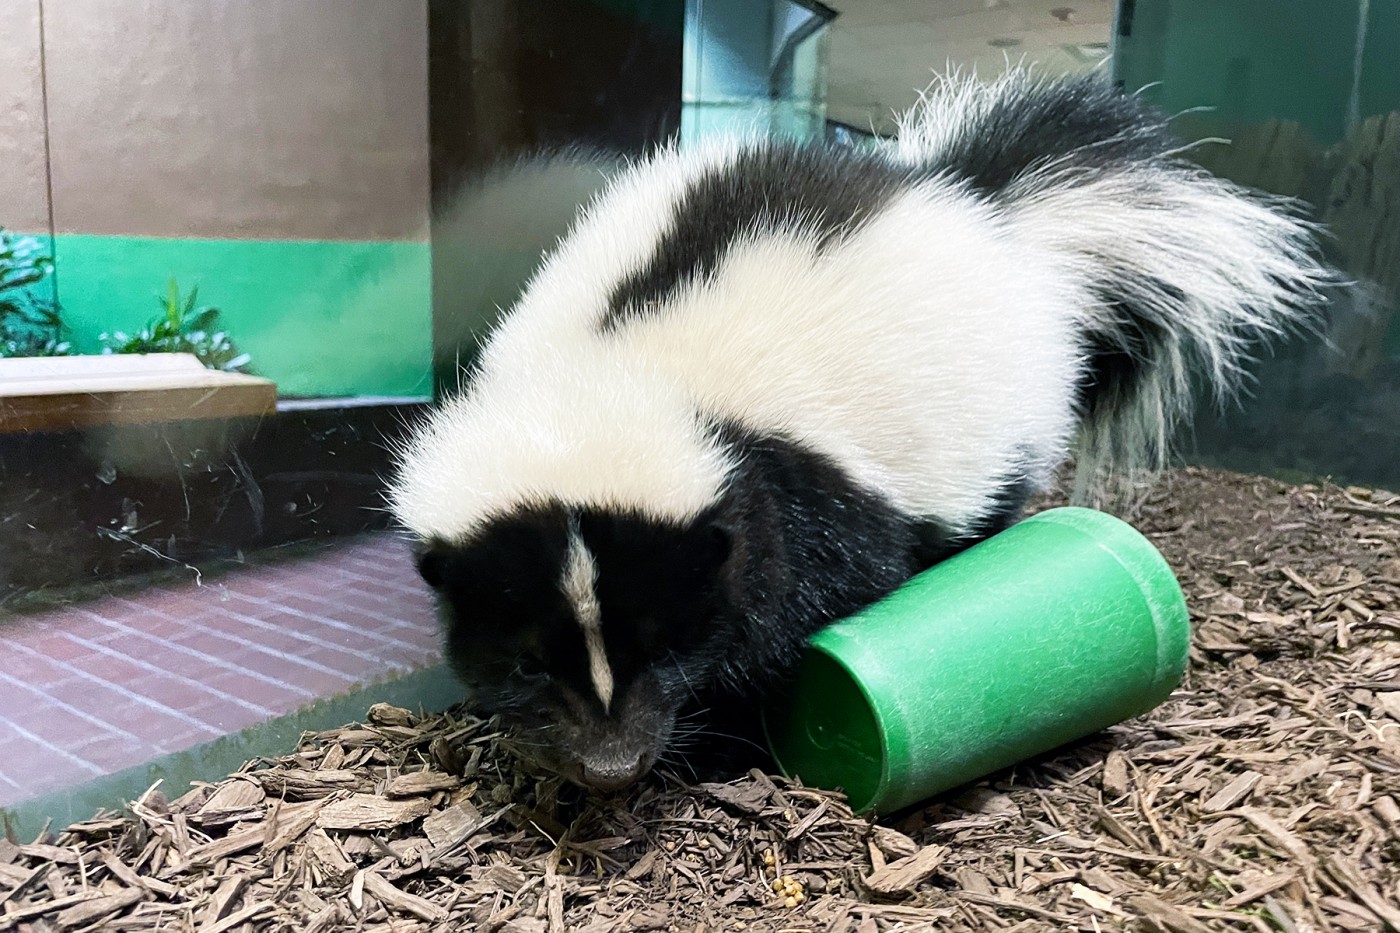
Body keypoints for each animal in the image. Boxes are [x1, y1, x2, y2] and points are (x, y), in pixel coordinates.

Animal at [389, 68, 1327, 790]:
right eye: (524, 658)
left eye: (664, 641)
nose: (612, 766)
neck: (616, 374)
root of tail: (980, 203)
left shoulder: (805, 496)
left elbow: (786, 615)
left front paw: (723, 739)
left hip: (991, 441)